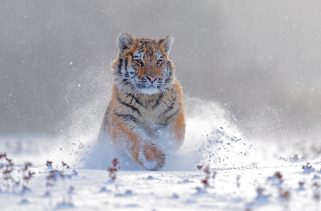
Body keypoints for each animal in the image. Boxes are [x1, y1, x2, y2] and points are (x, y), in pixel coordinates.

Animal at [100, 32, 185, 170]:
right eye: (139, 61)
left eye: (159, 61)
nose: (153, 78)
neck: (148, 99)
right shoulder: (122, 119)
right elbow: (137, 140)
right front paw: (154, 159)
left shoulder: (175, 115)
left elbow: (173, 138)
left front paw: (166, 147)